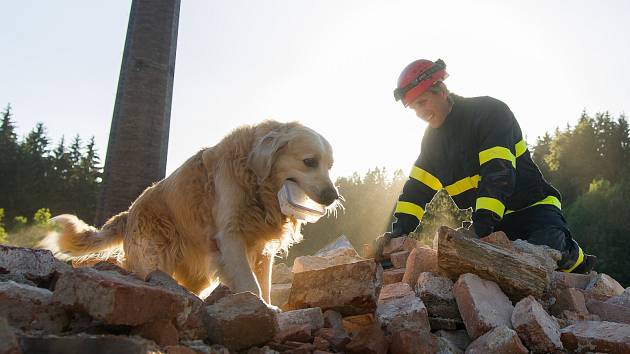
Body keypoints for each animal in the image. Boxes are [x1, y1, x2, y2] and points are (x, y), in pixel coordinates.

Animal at [43, 121, 340, 304]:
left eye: (329, 166)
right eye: (309, 162)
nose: (333, 197)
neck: (255, 179)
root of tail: (128, 213)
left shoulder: (262, 248)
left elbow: (264, 284)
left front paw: (269, 307)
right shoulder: (231, 235)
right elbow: (250, 283)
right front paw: (261, 308)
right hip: (155, 258)